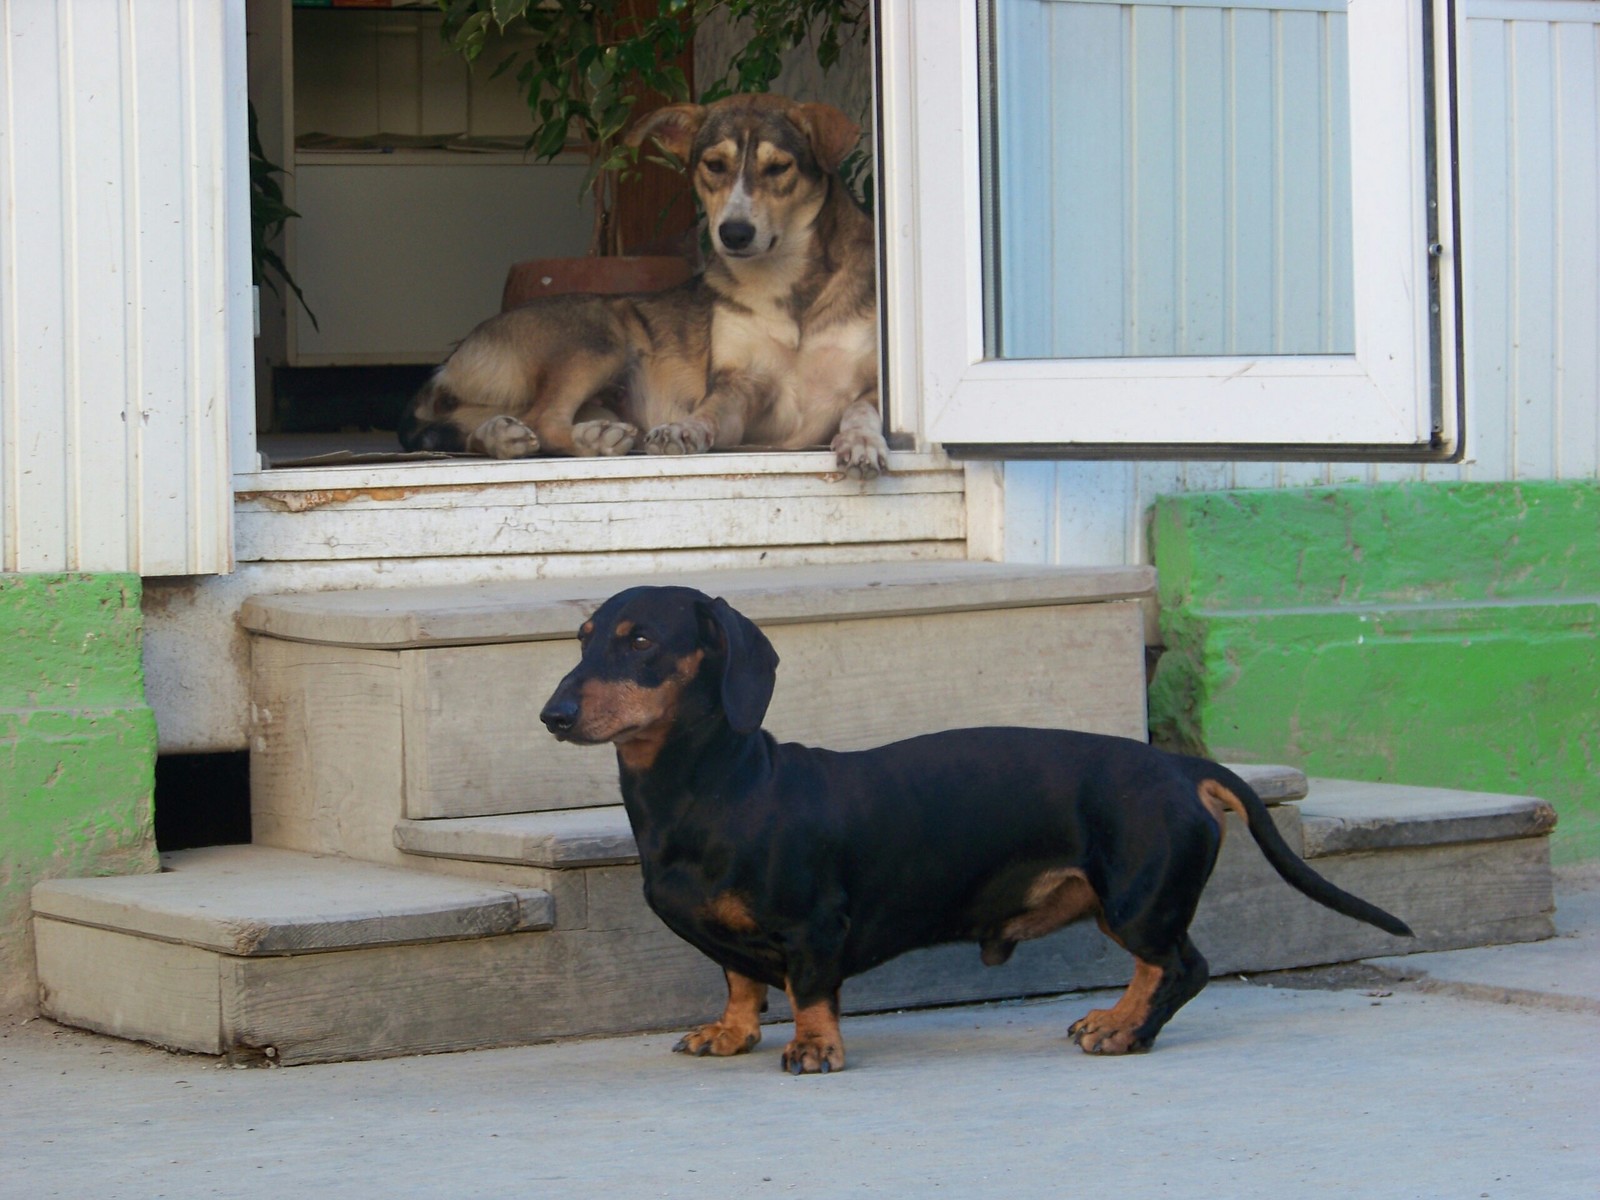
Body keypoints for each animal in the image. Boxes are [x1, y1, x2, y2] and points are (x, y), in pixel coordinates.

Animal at [395, 95, 896, 480]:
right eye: (714, 165)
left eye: (778, 168)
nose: (733, 233)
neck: (788, 283)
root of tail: (452, 357)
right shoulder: (740, 386)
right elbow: (709, 412)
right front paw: (683, 429)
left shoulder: (873, 384)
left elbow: (860, 410)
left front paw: (861, 441)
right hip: (600, 337)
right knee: (543, 419)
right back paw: (591, 442)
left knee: (490, 427)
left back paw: (512, 435)